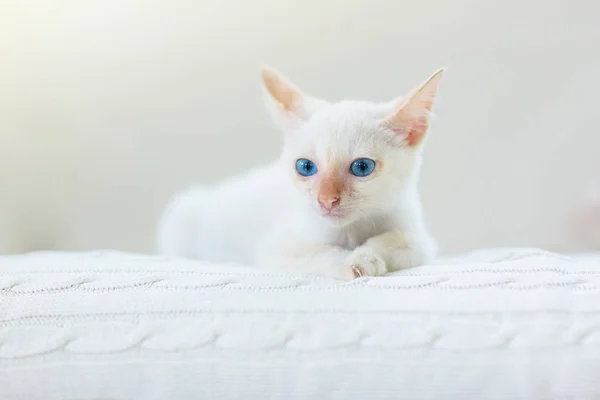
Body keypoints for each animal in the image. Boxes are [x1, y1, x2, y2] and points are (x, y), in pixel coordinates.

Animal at [157, 65, 442, 280]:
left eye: (362, 167)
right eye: (305, 167)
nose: (326, 200)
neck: (350, 230)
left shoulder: (421, 240)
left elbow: (403, 239)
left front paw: (367, 253)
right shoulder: (277, 249)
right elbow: (320, 252)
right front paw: (355, 261)